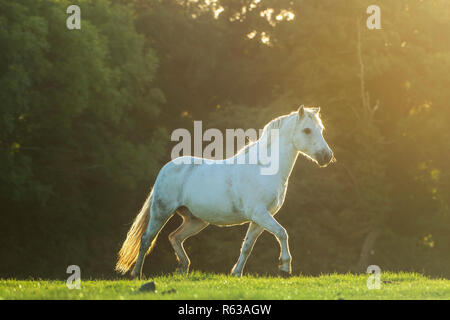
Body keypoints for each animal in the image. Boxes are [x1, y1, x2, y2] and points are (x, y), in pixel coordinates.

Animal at [116, 106, 334, 278]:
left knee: (174, 237)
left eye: (321, 129)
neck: (263, 168)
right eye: (307, 130)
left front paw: (236, 273)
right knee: (146, 239)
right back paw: (137, 274)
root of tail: (165, 169)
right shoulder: (260, 214)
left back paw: (183, 269)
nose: (327, 157)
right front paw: (285, 268)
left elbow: (247, 246)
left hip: (196, 220)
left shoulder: (259, 219)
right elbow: (282, 233)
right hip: (161, 212)